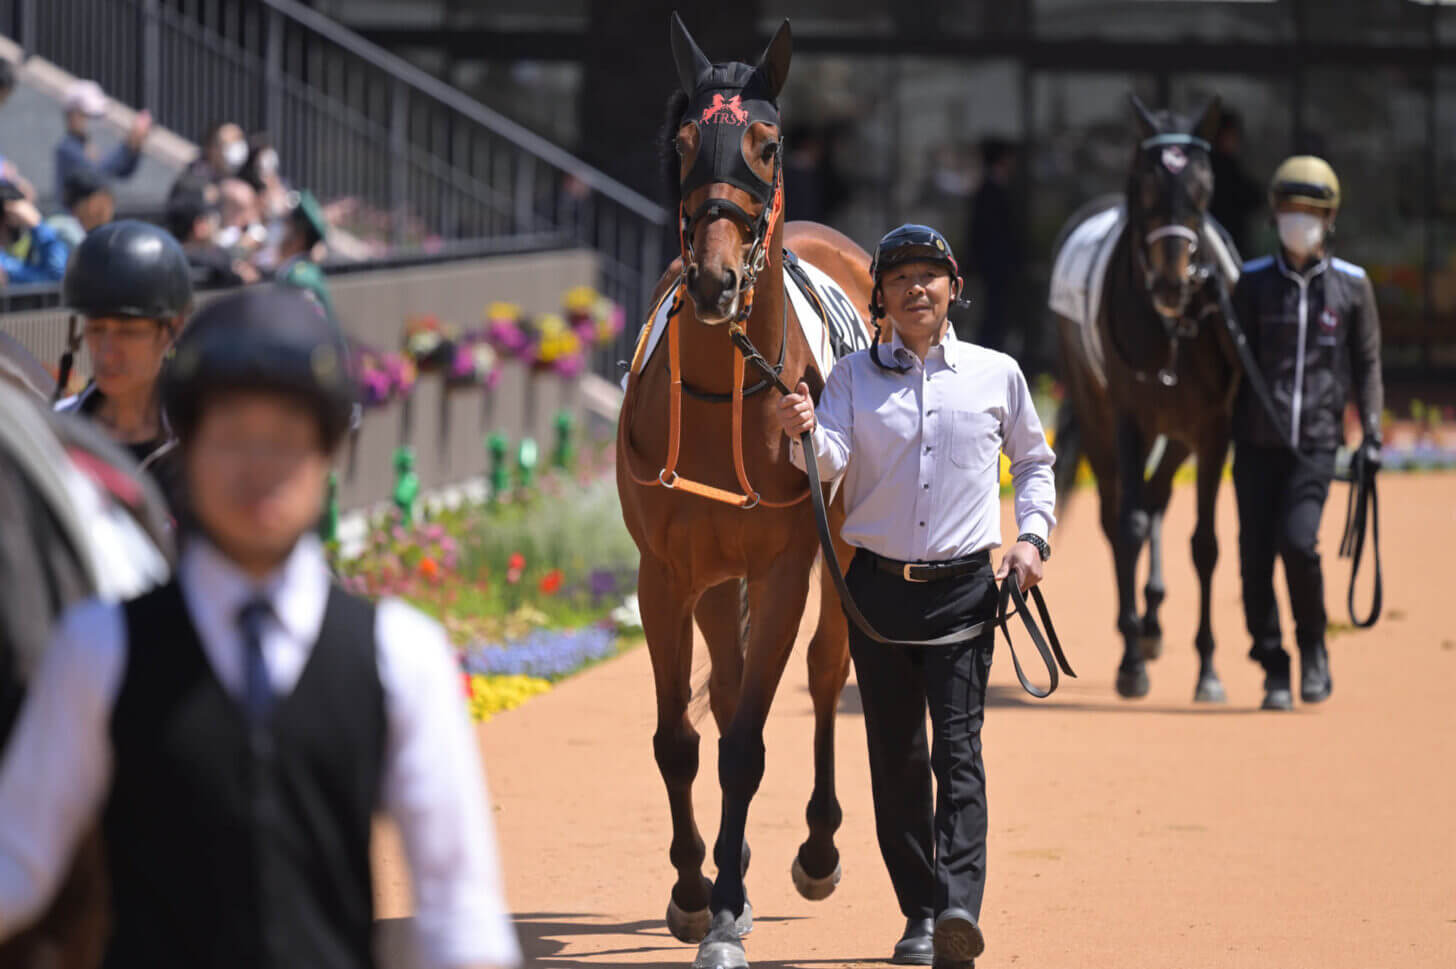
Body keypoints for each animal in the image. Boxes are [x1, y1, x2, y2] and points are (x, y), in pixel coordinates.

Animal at [611, 13, 867, 966]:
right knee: (720, 694)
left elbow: (749, 745)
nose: (716, 280)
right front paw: (696, 889)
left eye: (766, 143)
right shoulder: (664, 572)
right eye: (687, 141)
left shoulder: (786, 568)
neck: (724, 390)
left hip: (842, 551)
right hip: (715, 577)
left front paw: (722, 911)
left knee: (828, 672)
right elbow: (681, 740)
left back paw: (816, 848)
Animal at [1048, 96, 1240, 701]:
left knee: (1157, 496)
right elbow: (1128, 524)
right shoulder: (1129, 418)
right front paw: (1131, 664)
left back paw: (1153, 622)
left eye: (1204, 188)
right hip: (1099, 413)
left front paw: (1209, 669)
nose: (1173, 283)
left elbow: (1206, 542)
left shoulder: (1213, 426)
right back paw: (1134, 631)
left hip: (1177, 430)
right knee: (1118, 512)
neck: (1169, 328)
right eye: (1150, 187)